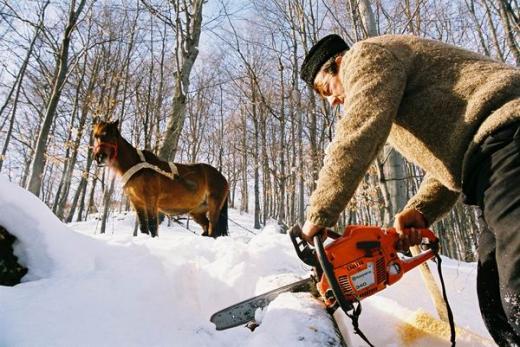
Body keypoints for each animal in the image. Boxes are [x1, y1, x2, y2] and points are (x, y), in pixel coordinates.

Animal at [92, 120, 230, 239]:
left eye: (109, 135)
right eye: (95, 136)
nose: (99, 157)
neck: (138, 167)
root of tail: (223, 178)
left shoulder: (151, 200)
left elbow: (152, 226)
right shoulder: (137, 203)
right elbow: (143, 228)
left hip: (213, 206)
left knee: (213, 229)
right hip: (198, 211)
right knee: (207, 227)